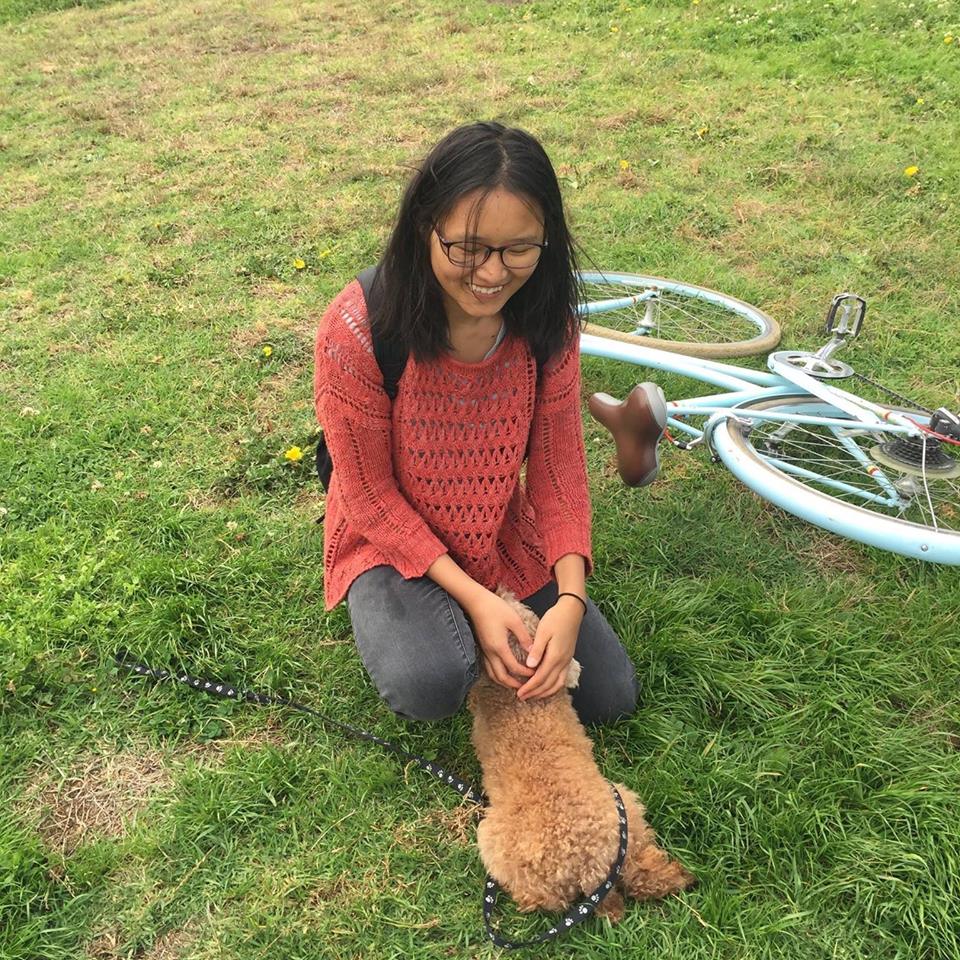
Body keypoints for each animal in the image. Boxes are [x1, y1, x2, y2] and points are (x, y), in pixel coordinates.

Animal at [466, 588, 696, 920]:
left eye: (525, 612)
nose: (498, 589)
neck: (521, 701)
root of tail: (590, 866)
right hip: (627, 813)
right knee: (642, 868)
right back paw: (676, 877)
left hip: (495, 842)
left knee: (541, 899)